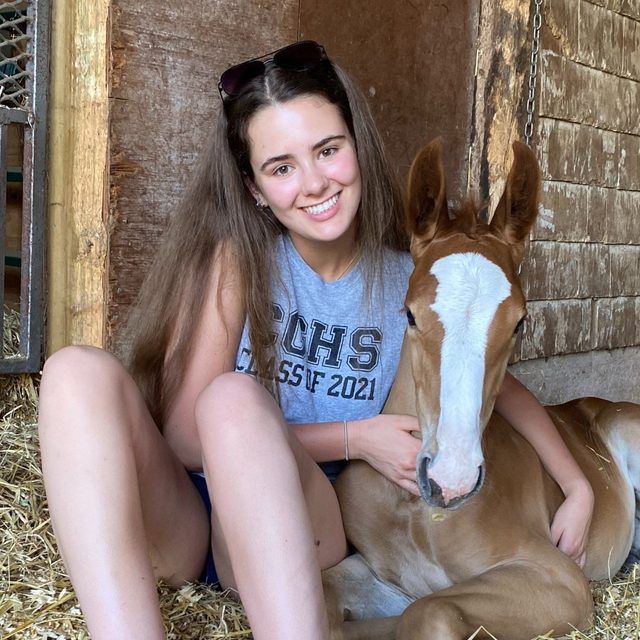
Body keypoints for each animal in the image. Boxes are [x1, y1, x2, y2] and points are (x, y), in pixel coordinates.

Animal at [322, 139, 640, 640]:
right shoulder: (383, 576)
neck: (414, 510)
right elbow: (328, 606)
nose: (450, 481)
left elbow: (429, 611)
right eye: (409, 314)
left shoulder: (557, 577)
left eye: (520, 322)